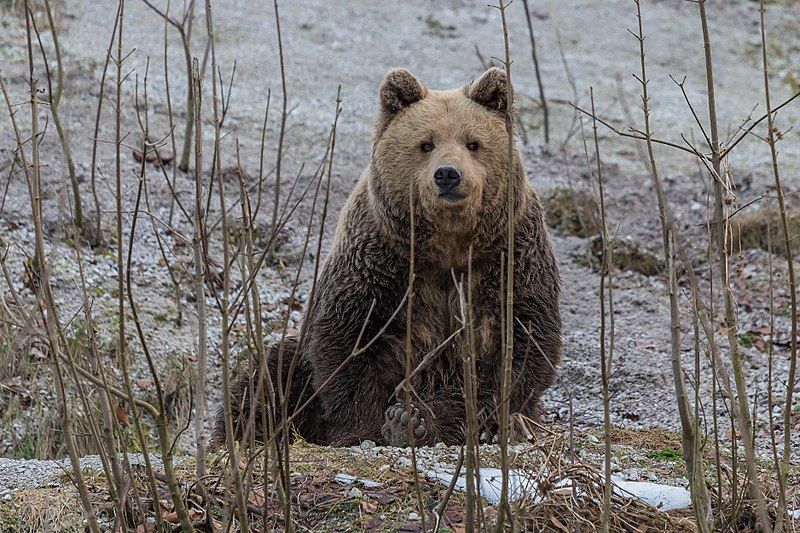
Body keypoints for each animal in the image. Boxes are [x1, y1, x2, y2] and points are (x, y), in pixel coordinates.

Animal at [214, 67, 564, 448]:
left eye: (474, 143)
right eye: (426, 144)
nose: (448, 174)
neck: (448, 244)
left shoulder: (508, 258)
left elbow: (517, 345)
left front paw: (418, 418)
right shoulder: (380, 259)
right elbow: (351, 340)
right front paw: (368, 427)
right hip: (298, 364)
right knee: (269, 378)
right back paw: (246, 432)